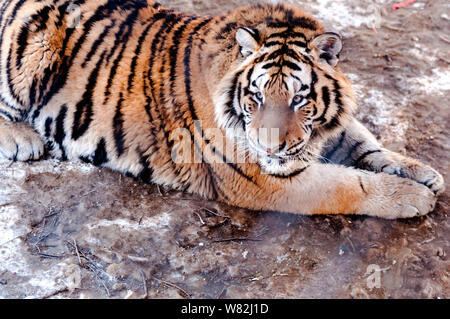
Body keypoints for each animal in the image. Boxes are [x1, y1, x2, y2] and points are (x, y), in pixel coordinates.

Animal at [0, 0, 444, 219]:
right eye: (257, 96)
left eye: (299, 99)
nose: (271, 149)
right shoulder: (265, 180)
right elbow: (348, 185)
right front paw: (412, 197)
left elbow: (366, 144)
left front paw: (423, 173)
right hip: (35, 39)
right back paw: (23, 139)